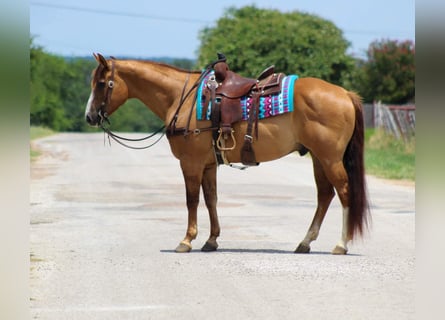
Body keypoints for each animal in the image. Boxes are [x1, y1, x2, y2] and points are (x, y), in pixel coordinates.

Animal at [85, 53, 370, 255]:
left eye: (101, 84)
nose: (89, 117)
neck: (182, 98)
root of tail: (345, 93)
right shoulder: (209, 164)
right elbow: (211, 199)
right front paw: (211, 240)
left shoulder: (191, 163)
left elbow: (192, 200)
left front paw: (186, 240)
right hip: (318, 158)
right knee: (325, 195)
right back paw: (305, 242)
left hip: (330, 158)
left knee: (344, 192)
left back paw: (341, 244)